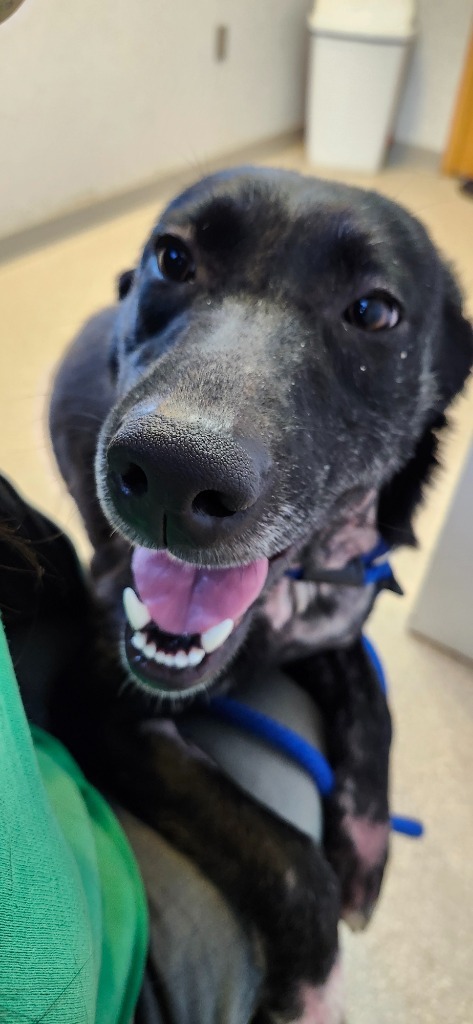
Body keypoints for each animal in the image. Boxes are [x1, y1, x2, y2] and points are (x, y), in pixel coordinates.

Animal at [49, 169, 470, 1024]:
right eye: (174, 258)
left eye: (374, 311)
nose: (171, 473)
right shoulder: (97, 697)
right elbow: (284, 854)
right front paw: (312, 986)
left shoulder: (341, 622)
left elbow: (374, 704)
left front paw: (365, 847)